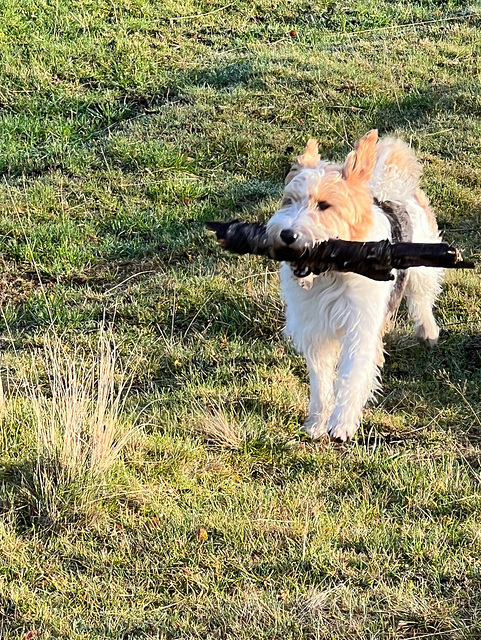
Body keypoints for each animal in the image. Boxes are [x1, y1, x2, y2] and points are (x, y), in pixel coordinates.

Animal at [266, 130, 442, 440]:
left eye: (324, 205)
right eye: (289, 200)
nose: (287, 235)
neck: (331, 274)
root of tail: (391, 188)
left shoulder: (361, 328)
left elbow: (352, 375)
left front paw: (342, 423)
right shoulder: (316, 333)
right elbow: (321, 382)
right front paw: (317, 422)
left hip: (424, 264)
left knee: (422, 299)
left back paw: (428, 331)